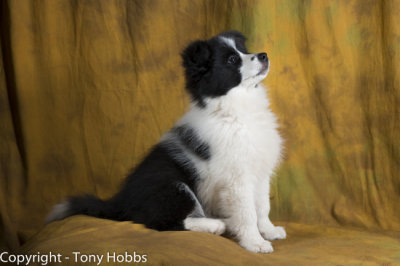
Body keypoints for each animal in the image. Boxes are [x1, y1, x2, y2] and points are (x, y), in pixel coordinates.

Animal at [47, 31, 284, 254]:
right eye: (232, 60)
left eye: (244, 50)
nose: (264, 55)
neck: (236, 111)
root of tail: (120, 202)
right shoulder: (236, 178)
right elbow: (247, 212)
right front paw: (255, 243)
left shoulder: (260, 171)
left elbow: (262, 206)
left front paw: (269, 231)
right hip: (172, 184)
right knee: (160, 222)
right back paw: (215, 225)